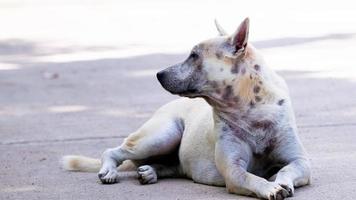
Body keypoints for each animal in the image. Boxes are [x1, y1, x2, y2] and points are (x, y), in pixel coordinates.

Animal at [62, 18, 312, 199]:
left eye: (194, 55)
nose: (158, 74)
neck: (250, 109)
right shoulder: (233, 170)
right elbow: (252, 178)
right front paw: (270, 187)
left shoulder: (301, 162)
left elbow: (286, 169)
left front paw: (279, 180)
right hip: (161, 135)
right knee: (113, 151)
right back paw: (109, 170)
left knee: (172, 166)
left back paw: (151, 171)